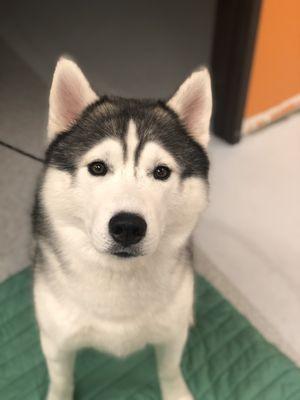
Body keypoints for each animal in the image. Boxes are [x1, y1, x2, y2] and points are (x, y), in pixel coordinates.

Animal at [32, 57, 211, 400]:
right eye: (98, 167)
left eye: (161, 172)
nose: (128, 226)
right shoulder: (57, 341)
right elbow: (61, 380)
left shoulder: (170, 336)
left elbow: (169, 370)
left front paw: (176, 392)